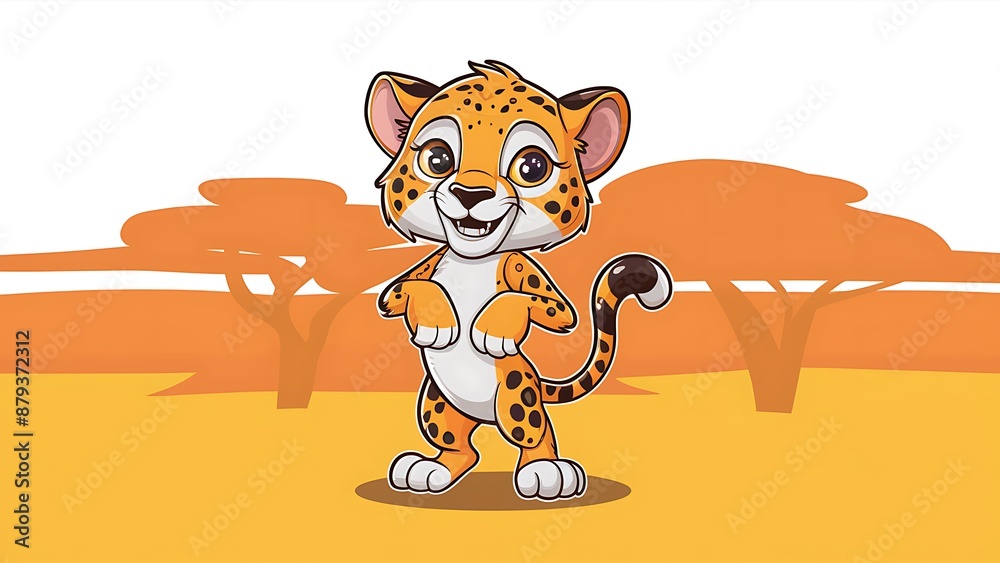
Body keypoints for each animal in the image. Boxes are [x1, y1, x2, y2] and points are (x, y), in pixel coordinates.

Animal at [365, 60, 673, 501]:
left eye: (532, 167)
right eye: (438, 159)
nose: (470, 193)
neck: (472, 259)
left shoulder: (527, 276)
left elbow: (548, 308)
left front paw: (492, 327)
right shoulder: (416, 274)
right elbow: (404, 290)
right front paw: (437, 322)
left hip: (515, 392)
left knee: (533, 435)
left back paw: (545, 471)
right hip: (435, 404)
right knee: (462, 448)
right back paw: (431, 469)